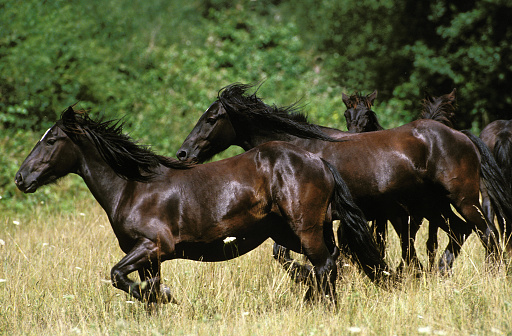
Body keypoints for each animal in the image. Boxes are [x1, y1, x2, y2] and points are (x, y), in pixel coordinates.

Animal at [15, 105, 392, 304]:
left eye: (51, 139)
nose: (20, 178)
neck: (132, 188)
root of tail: (319, 161)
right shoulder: (150, 259)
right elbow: (145, 292)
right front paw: (161, 302)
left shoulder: (152, 246)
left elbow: (118, 276)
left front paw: (169, 295)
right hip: (298, 232)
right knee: (329, 264)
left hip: (306, 230)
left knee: (325, 266)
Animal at [177, 82, 512, 274]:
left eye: (211, 119)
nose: (183, 153)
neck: (299, 146)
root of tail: (461, 136)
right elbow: (289, 254)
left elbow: (291, 255)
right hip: (432, 206)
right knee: (460, 232)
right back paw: (440, 271)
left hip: (462, 199)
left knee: (487, 233)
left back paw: (492, 274)